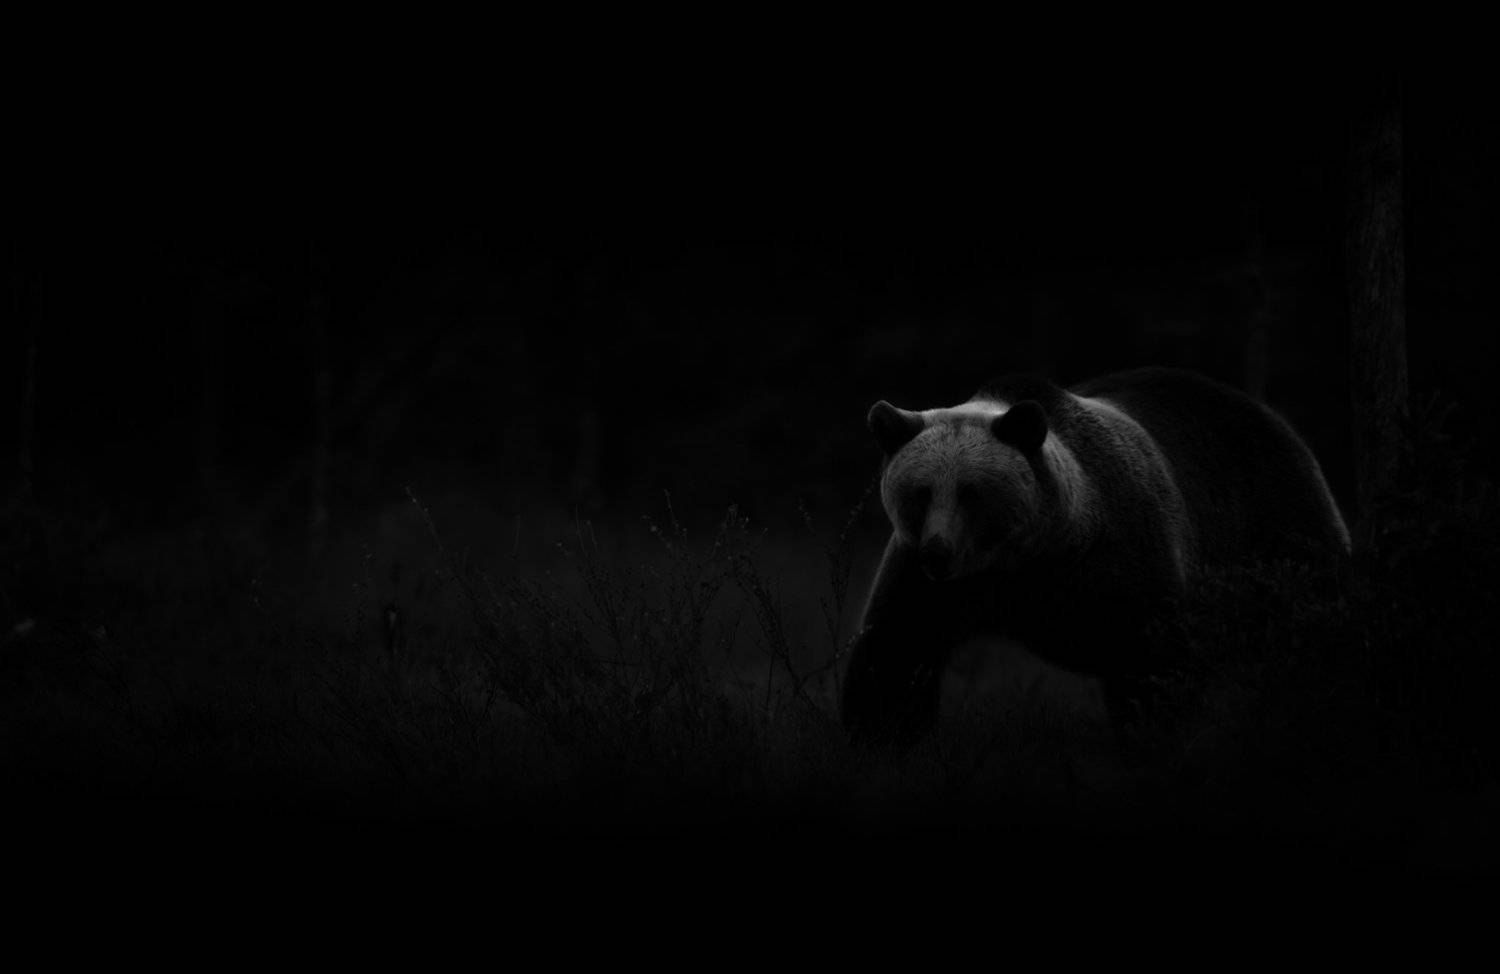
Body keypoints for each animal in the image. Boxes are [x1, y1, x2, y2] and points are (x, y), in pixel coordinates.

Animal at [840, 366, 1351, 744]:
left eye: (971, 493)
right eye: (921, 492)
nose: (938, 553)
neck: (1029, 558)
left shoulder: (1121, 554)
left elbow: (1153, 661)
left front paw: (1154, 734)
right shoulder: (931, 582)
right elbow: (896, 647)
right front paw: (880, 738)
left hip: (1274, 524)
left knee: (1312, 619)